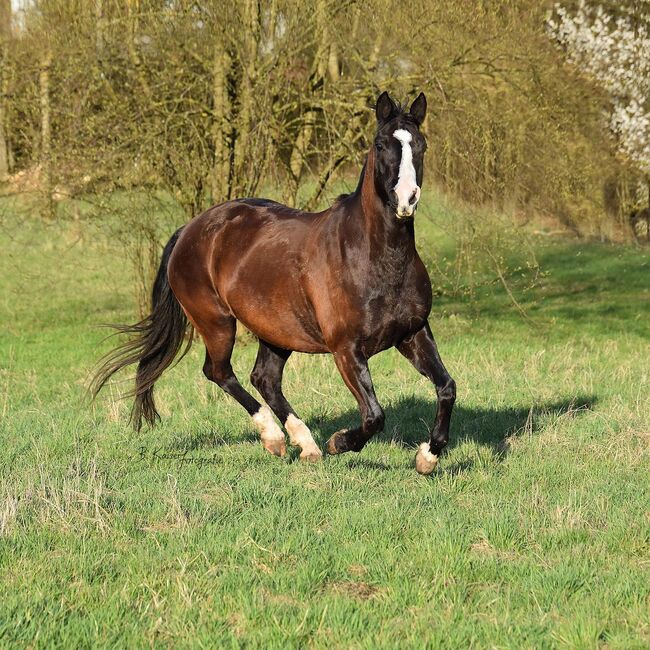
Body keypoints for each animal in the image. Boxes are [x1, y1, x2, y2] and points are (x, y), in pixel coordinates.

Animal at [92, 91, 456, 474]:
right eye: (382, 144)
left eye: (420, 144)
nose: (407, 199)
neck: (376, 257)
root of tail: (190, 229)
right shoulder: (346, 349)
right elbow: (374, 415)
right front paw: (340, 442)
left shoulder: (412, 334)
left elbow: (447, 387)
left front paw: (427, 456)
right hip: (216, 322)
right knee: (219, 372)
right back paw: (276, 437)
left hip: (275, 330)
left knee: (264, 378)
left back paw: (304, 444)